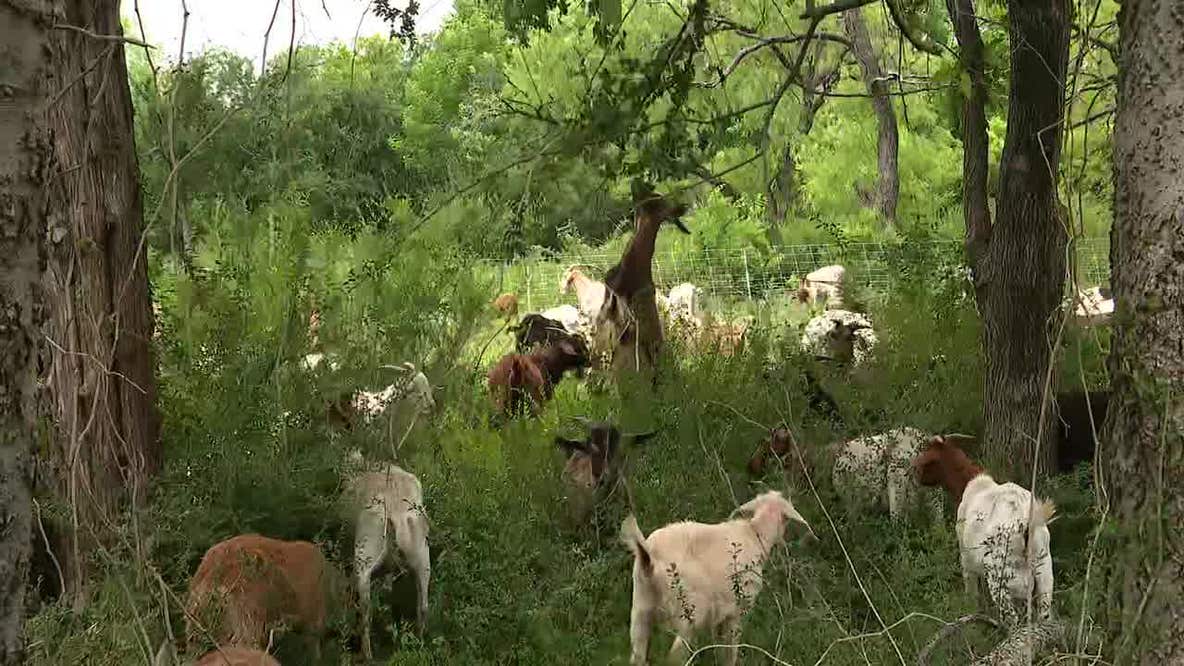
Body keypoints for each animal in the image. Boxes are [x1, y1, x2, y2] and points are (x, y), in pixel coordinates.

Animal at [345, 451, 431, 660]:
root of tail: (395, 510)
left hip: (364, 554)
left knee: (365, 611)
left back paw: (366, 655)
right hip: (422, 554)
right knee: (423, 605)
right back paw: (419, 644)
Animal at [620, 491, 816, 665]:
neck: (755, 534)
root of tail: (649, 555)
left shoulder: (719, 613)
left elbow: (718, 645)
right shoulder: (737, 609)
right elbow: (730, 649)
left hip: (641, 607)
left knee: (637, 655)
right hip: (689, 610)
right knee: (675, 656)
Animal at [913, 435, 1056, 627]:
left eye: (927, 457)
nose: (915, 473)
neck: (970, 484)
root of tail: (1027, 522)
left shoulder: (966, 558)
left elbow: (972, 593)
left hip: (1001, 576)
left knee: (1012, 620)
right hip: (1044, 570)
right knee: (1044, 614)